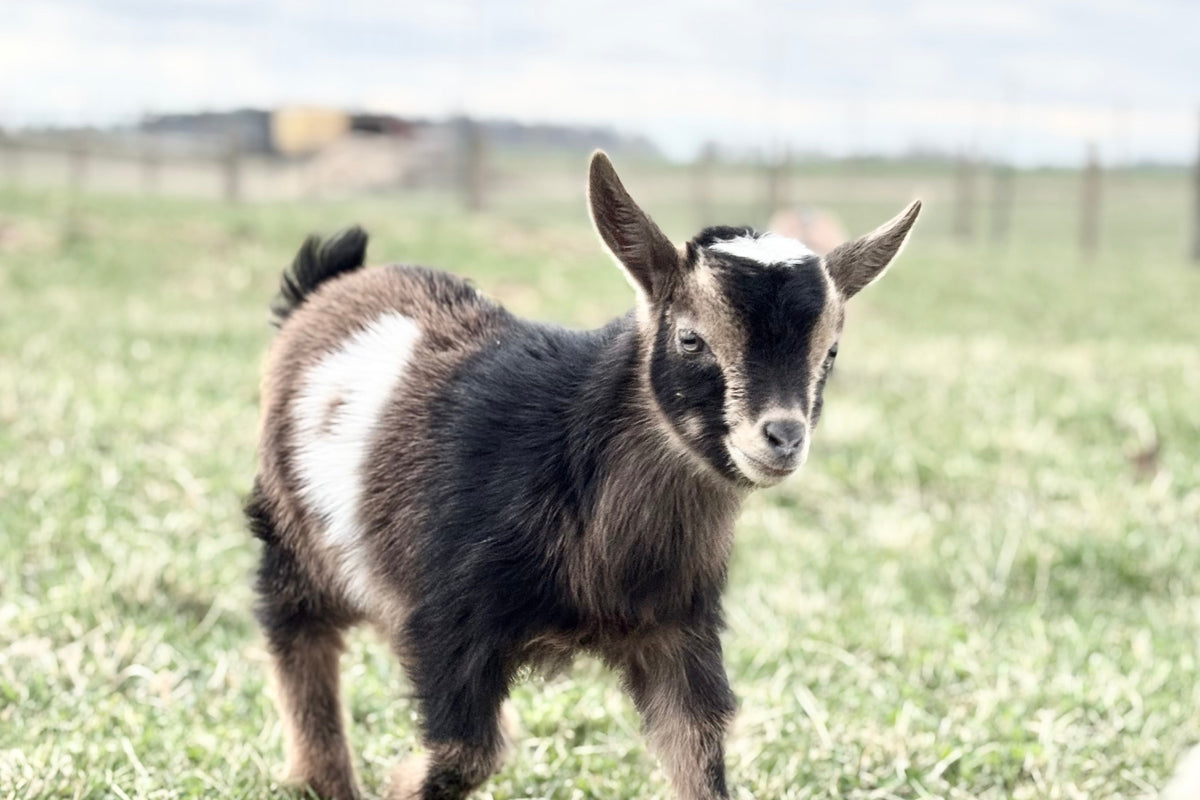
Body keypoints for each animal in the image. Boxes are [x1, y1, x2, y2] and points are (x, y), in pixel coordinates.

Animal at [246, 151, 921, 800]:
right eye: (690, 338)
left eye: (830, 352)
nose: (782, 437)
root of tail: (330, 283)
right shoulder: (450, 623)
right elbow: (467, 754)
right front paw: (399, 785)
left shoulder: (680, 635)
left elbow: (700, 762)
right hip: (291, 535)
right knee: (296, 633)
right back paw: (324, 779)